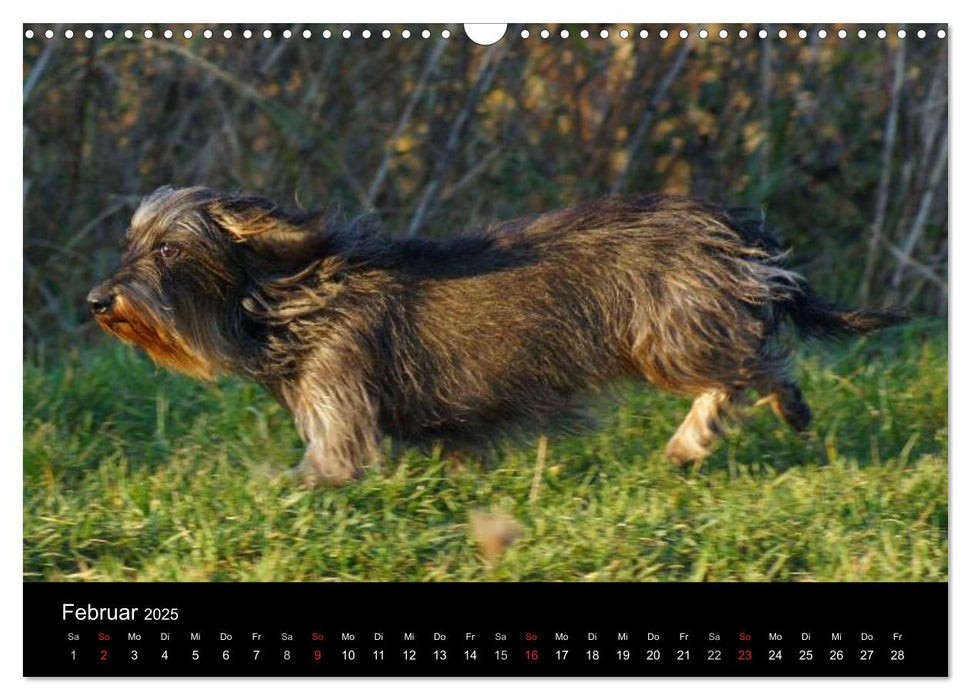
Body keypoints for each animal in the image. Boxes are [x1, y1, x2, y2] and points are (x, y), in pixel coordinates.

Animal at [87, 185, 908, 482]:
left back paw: (704, 437)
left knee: (757, 368)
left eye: (169, 249)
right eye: (130, 242)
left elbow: (303, 475)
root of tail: (733, 227)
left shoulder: (338, 433)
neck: (292, 297)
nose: (98, 300)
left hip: (673, 339)